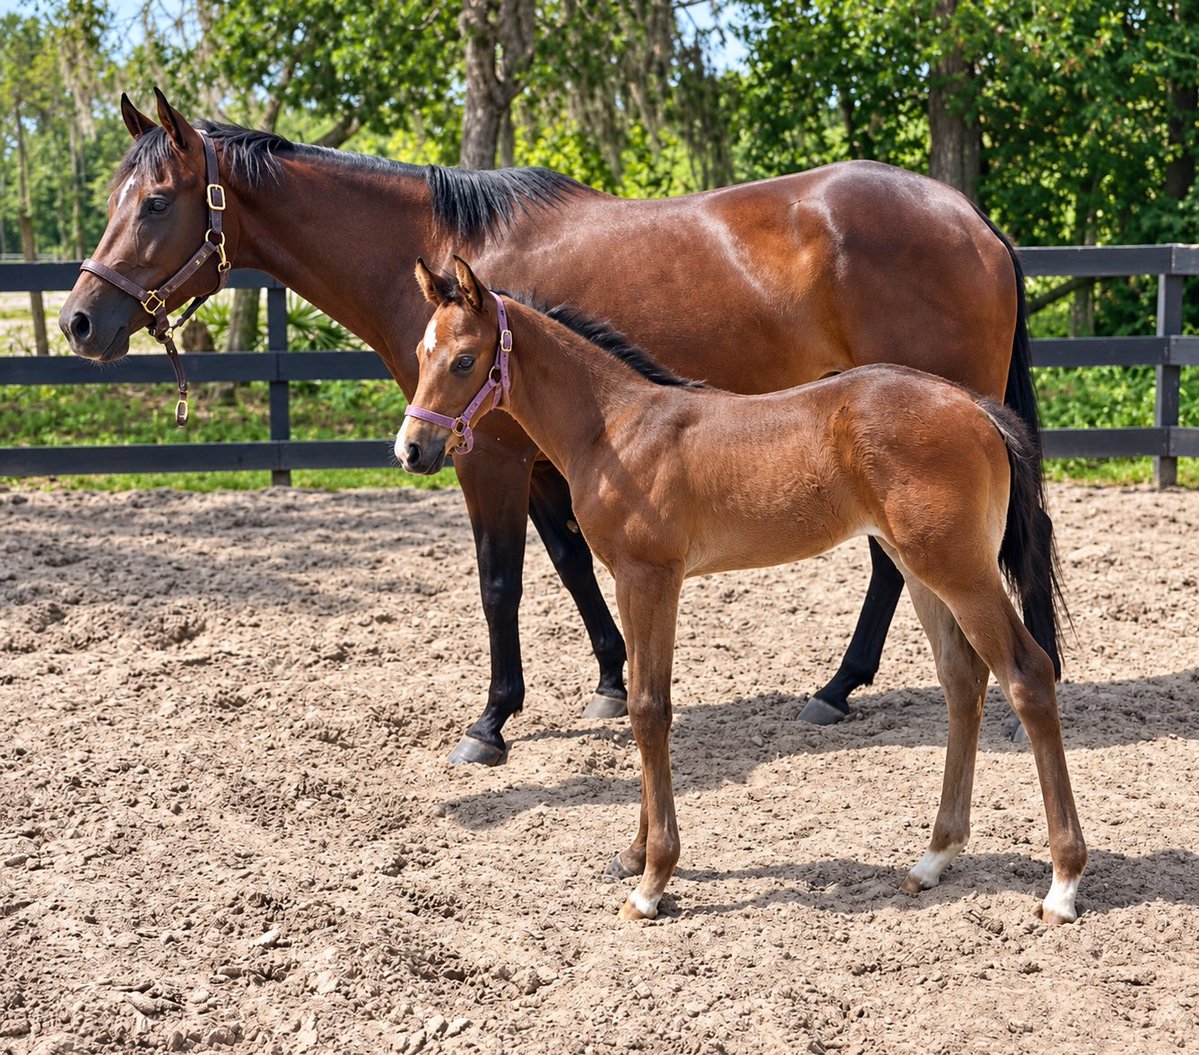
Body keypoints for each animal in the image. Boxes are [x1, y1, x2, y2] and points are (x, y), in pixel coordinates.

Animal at [59, 89, 1063, 768]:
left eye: (156, 202)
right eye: (114, 200)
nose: (78, 322)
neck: (442, 257)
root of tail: (973, 221)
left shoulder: (487, 458)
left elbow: (499, 583)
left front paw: (490, 721)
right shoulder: (547, 459)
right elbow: (575, 566)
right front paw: (611, 683)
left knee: (906, 568)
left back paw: (839, 689)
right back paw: (839, 687)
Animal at [398, 256, 1087, 924]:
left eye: (465, 360)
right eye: (421, 353)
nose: (410, 449)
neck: (615, 428)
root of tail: (976, 408)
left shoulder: (650, 576)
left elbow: (649, 711)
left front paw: (652, 882)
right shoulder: (631, 580)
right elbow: (647, 705)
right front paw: (635, 854)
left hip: (960, 570)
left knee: (1027, 674)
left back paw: (1062, 884)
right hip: (919, 568)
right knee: (963, 682)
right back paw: (934, 858)